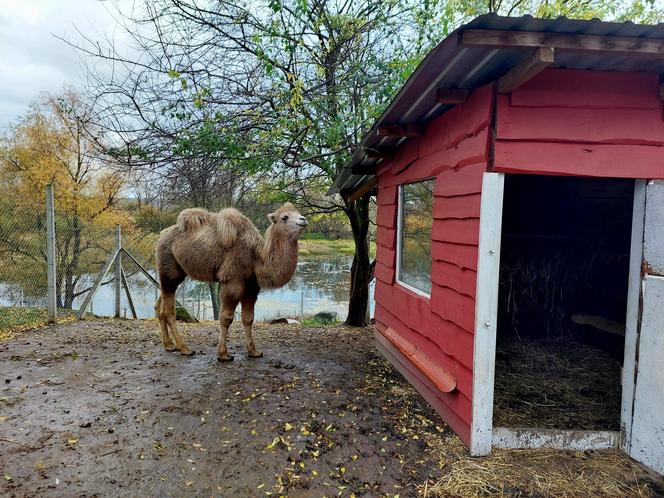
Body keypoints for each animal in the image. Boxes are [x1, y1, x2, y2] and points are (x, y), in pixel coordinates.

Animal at [156, 202, 308, 362]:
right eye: (284, 217)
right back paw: (185, 349)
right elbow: (226, 318)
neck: (256, 260)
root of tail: (161, 235)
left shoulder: (251, 288)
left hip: (176, 275)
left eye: (298, 212)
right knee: (169, 310)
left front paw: (253, 351)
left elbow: (248, 318)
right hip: (168, 270)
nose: (303, 220)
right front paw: (223, 354)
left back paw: (169, 345)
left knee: (160, 306)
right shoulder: (231, 282)